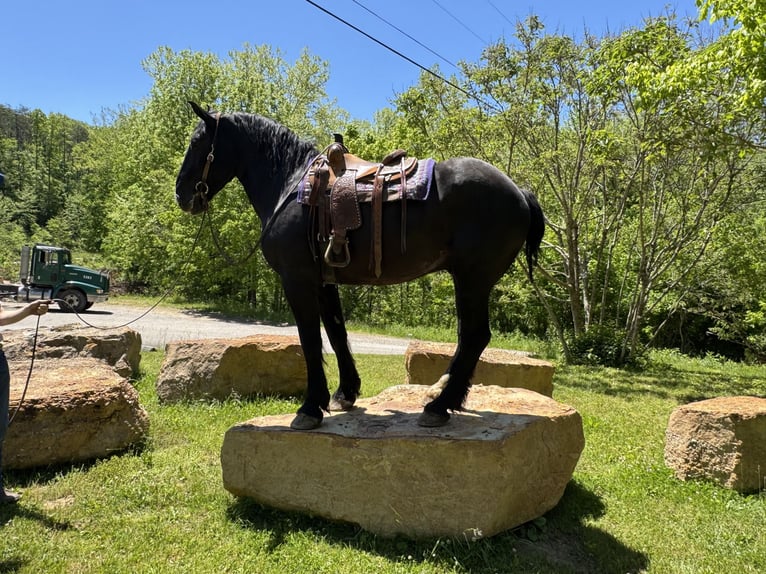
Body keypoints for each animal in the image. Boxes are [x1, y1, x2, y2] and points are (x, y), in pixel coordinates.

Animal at [175, 101, 545, 430]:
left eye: (197, 142)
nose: (181, 194)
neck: (291, 185)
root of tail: (520, 192)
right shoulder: (324, 280)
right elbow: (336, 333)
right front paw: (344, 394)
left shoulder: (297, 279)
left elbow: (309, 339)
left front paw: (310, 408)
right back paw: (442, 396)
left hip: (472, 280)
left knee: (474, 336)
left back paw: (439, 406)